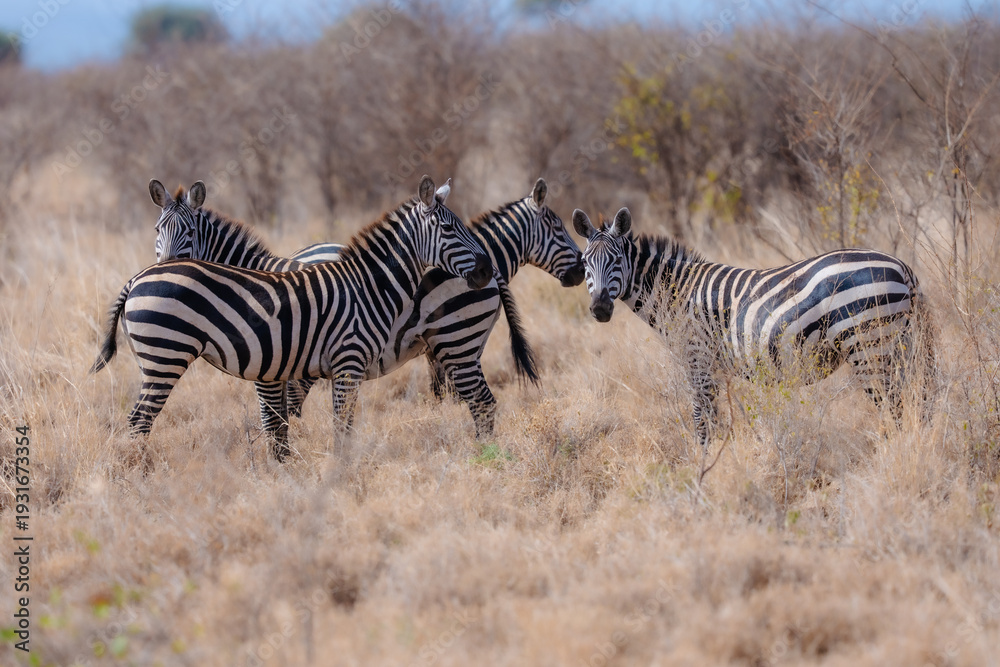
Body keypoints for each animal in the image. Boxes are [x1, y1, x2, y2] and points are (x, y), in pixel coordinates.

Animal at [92, 175, 492, 461]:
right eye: (157, 230)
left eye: (189, 232)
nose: (484, 269)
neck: (367, 284)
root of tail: (136, 279)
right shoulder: (333, 363)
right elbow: (304, 423)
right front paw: (323, 472)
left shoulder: (292, 367)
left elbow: (291, 423)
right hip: (164, 357)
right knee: (139, 420)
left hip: (458, 344)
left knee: (481, 401)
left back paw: (487, 455)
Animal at [573, 207, 932, 448]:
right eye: (585, 264)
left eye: (616, 261)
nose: (600, 309)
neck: (676, 293)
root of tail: (900, 265)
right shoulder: (712, 367)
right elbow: (715, 418)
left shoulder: (697, 359)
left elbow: (702, 419)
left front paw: (706, 468)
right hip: (901, 344)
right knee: (919, 401)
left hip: (869, 345)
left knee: (894, 406)